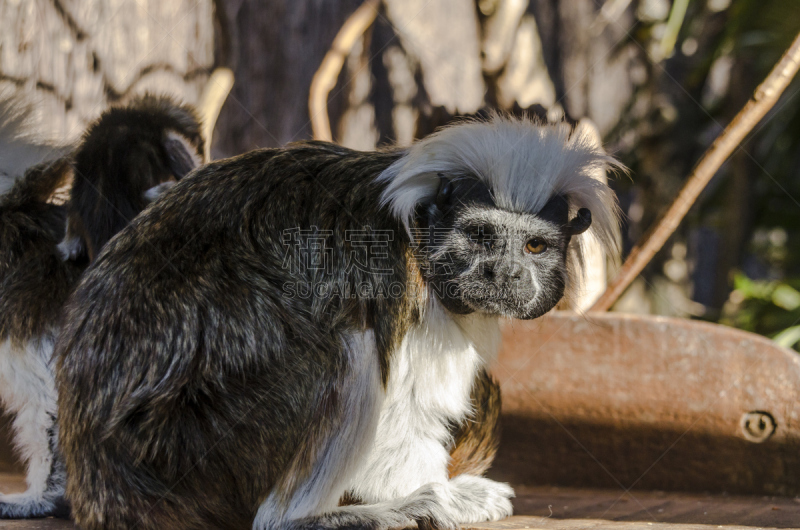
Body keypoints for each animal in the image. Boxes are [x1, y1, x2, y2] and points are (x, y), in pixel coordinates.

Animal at [56, 115, 620, 528]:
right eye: (481, 236)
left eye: (534, 246)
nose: (503, 272)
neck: (416, 228)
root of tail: (101, 475)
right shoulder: (394, 276)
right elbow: (402, 412)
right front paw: (443, 494)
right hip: (193, 443)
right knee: (340, 350)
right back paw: (314, 517)